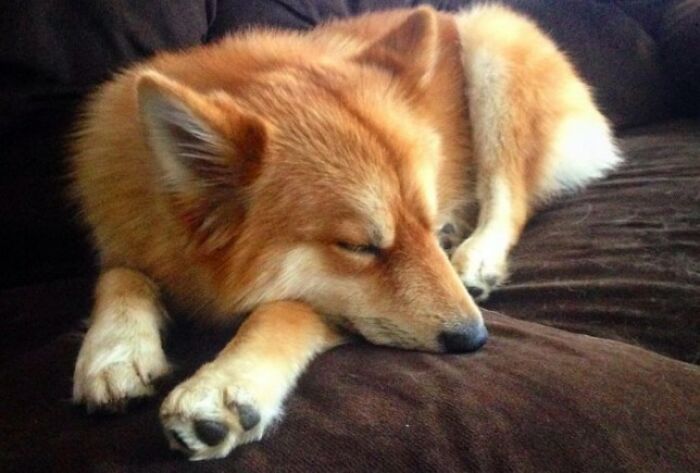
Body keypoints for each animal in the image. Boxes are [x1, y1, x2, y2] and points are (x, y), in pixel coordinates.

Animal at [69, 4, 620, 460]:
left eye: (429, 223)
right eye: (359, 247)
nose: (476, 338)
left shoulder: (329, 305)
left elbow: (282, 311)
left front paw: (227, 383)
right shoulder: (125, 238)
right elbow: (119, 274)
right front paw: (115, 350)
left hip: (493, 44)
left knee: (509, 195)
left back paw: (477, 258)